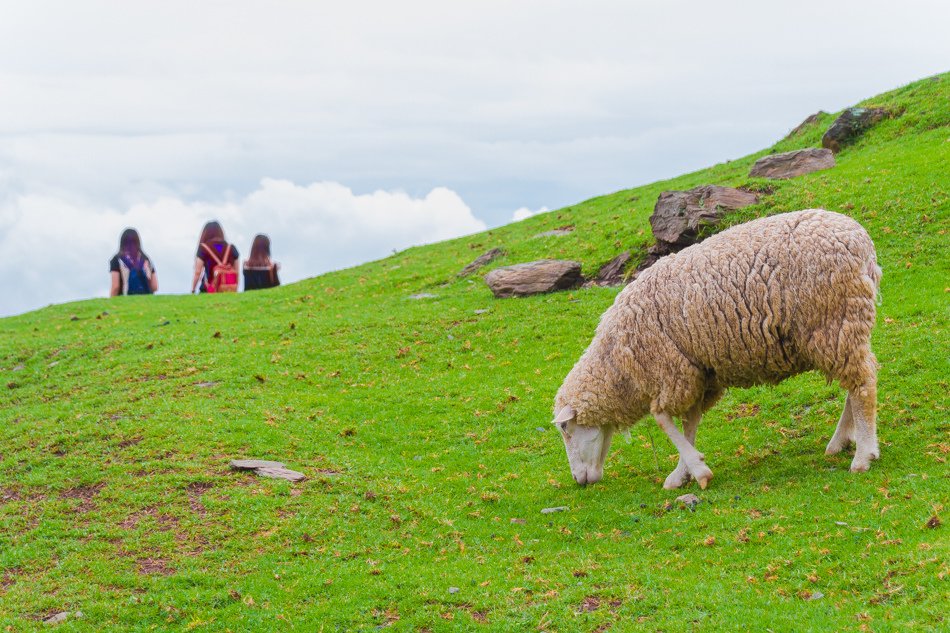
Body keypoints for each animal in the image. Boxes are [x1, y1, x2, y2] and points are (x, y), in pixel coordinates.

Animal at [556, 210, 880, 486]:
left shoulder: (672, 371)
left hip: (832, 322)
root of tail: (862, 242)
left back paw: (863, 455)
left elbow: (662, 419)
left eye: (564, 429)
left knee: (863, 385)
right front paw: (683, 473)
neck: (617, 363)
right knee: (856, 382)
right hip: (843, 327)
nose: (579, 481)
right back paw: (840, 442)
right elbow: (690, 424)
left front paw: (697, 471)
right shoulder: (699, 372)